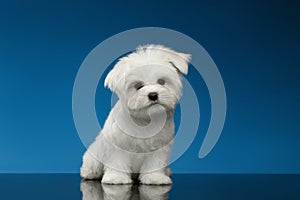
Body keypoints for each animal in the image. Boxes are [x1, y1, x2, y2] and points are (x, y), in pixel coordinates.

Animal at [79, 44, 191, 184]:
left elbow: (155, 163)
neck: (145, 120)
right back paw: (90, 172)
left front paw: (155, 178)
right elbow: (117, 161)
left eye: (161, 81)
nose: (153, 95)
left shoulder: (160, 146)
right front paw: (117, 178)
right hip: (94, 154)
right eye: (138, 86)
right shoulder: (118, 144)